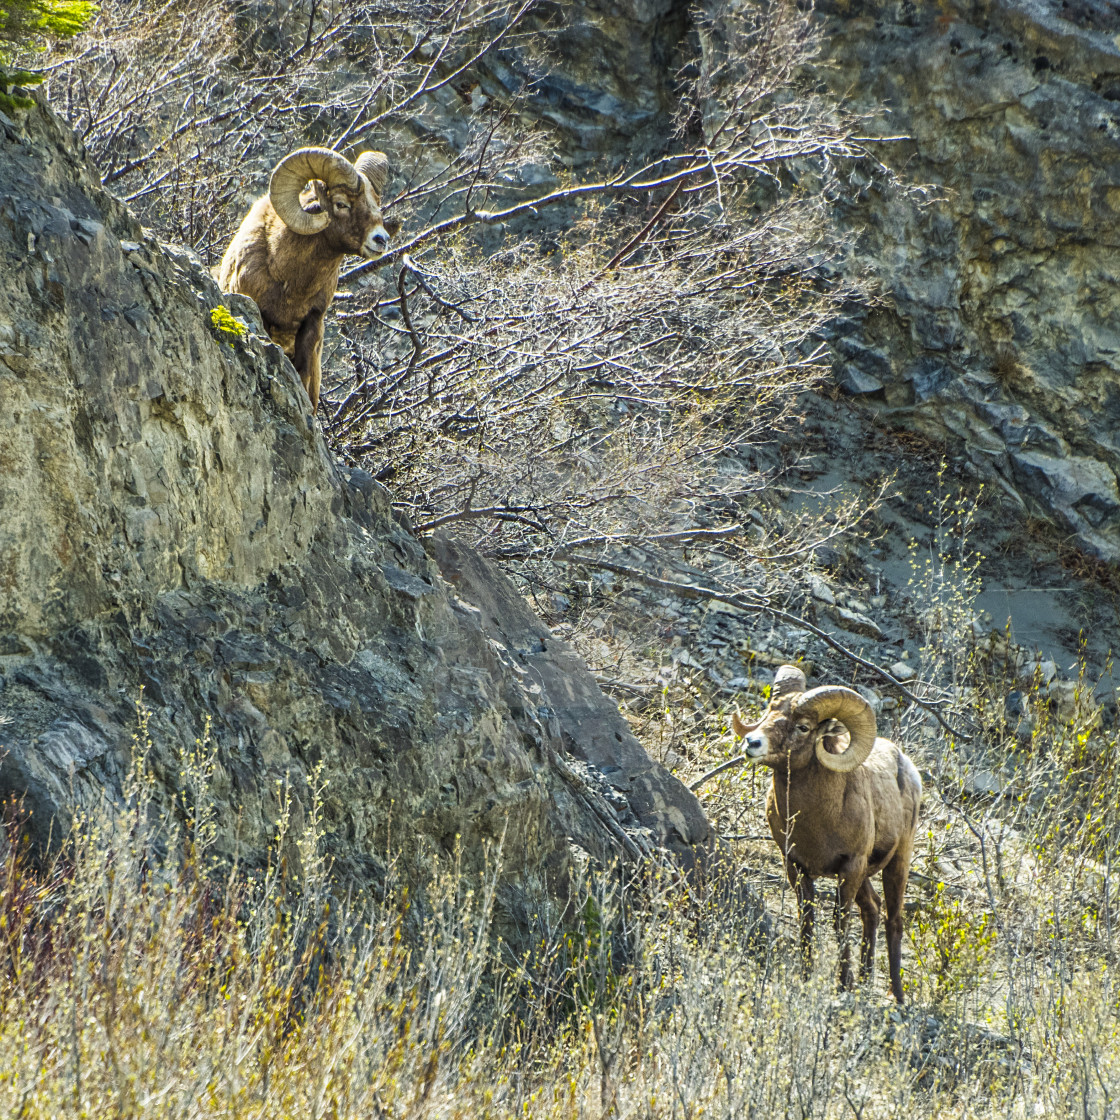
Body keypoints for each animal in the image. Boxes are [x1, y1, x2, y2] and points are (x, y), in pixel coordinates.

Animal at [734, 667, 918, 1003]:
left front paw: (841, 985)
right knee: (872, 909)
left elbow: (839, 921)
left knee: (894, 920)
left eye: (804, 727)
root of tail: (909, 771)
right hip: (866, 876)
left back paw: (896, 996)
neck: (818, 820)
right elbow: (806, 919)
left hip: (897, 862)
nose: (752, 743)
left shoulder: (850, 866)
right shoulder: (796, 866)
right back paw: (865, 982)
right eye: (770, 711)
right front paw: (806, 979)